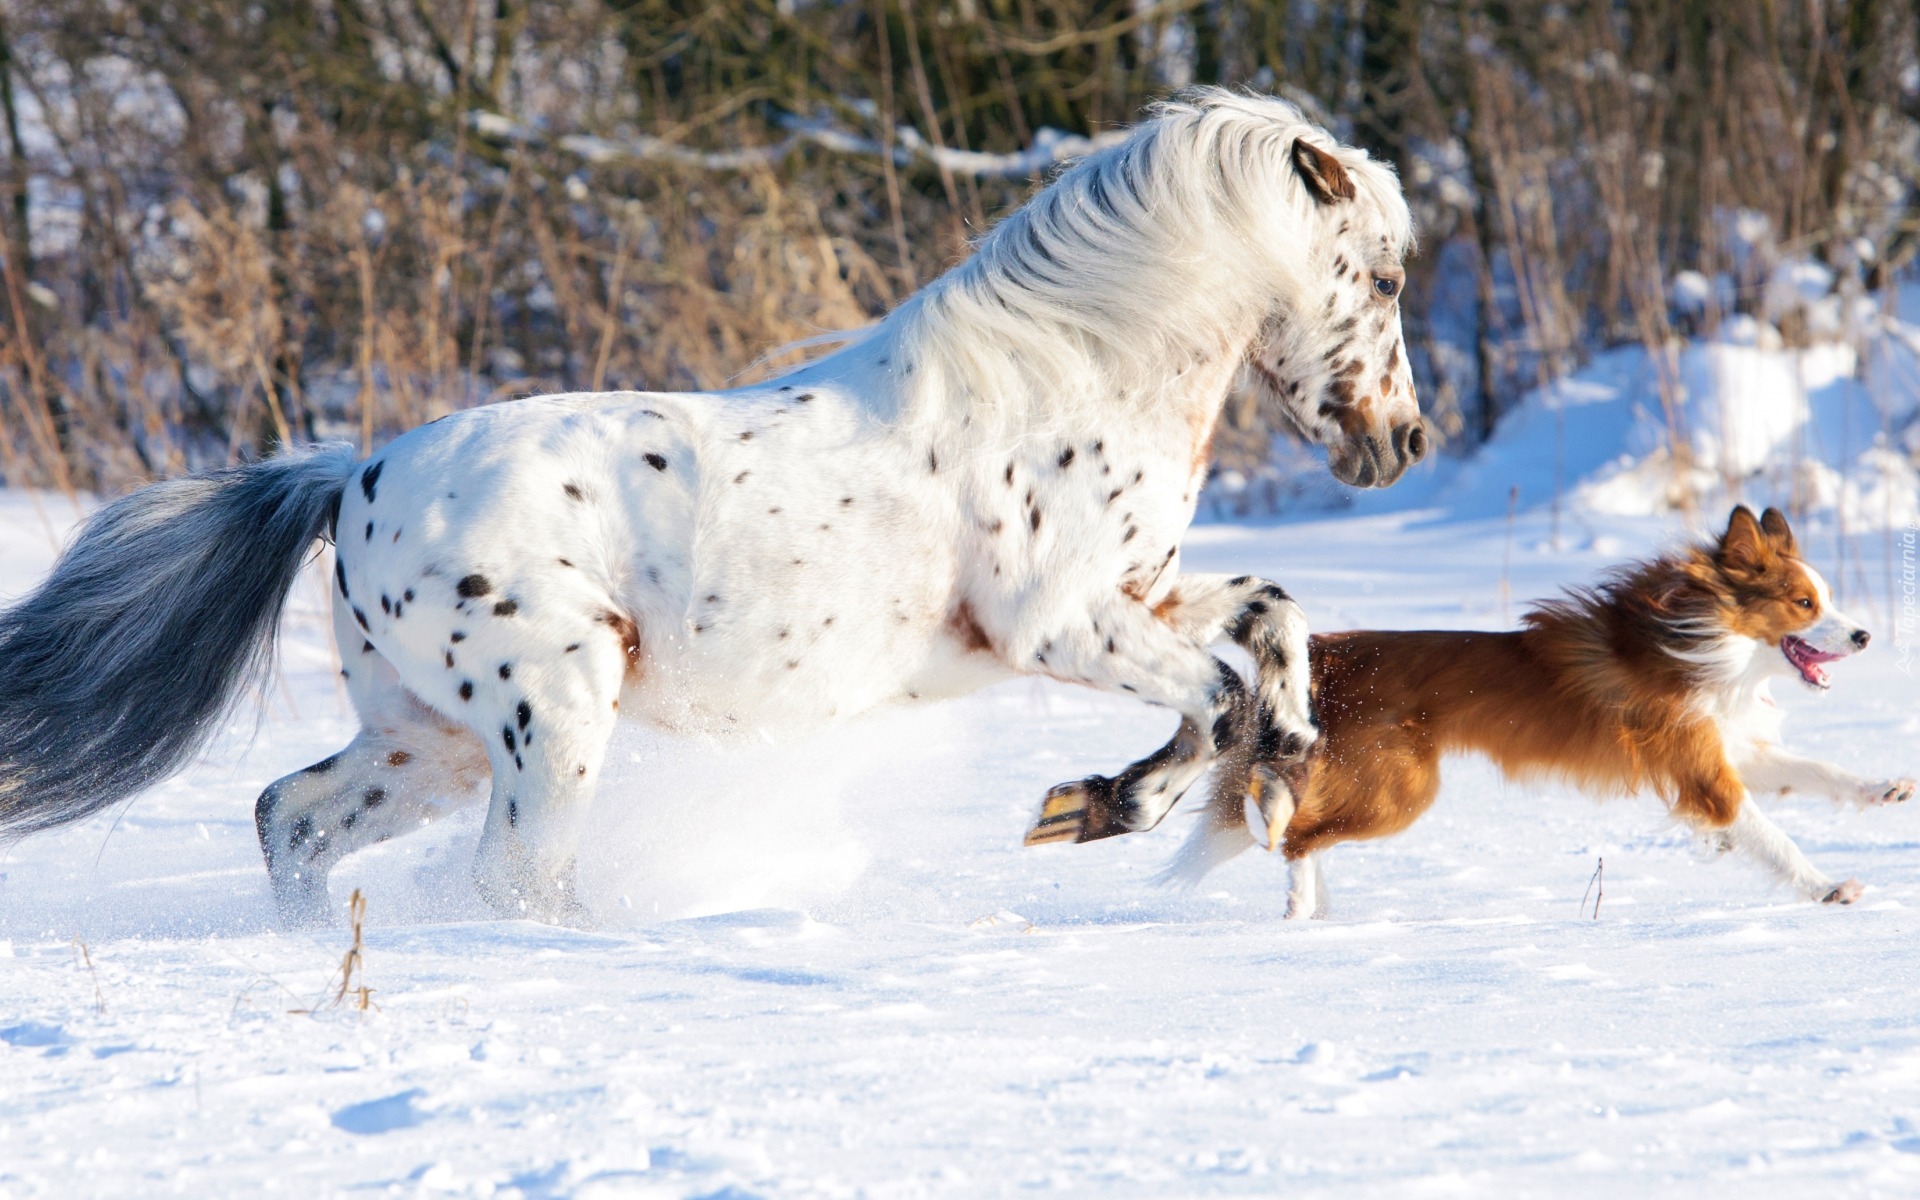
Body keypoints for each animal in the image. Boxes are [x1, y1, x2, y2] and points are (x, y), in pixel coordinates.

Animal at [0, 88, 1413, 921]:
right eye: (1388, 276)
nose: (1399, 443)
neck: (1069, 369)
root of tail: (349, 480)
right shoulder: (1058, 627)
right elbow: (1213, 700)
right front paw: (1105, 806)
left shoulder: (1140, 594)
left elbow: (1270, 614)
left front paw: (1284, 746)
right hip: (552, 714)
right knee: (512, 877)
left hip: (428, 740)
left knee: (293, 820)